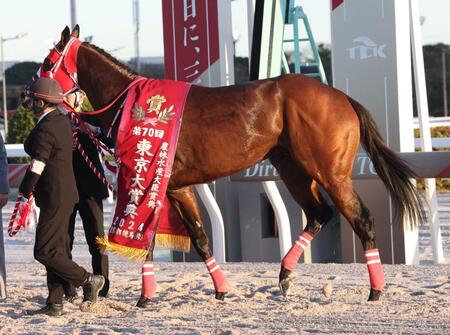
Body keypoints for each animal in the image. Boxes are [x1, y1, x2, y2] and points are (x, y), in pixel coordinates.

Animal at [35, 26, 422, 308]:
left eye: (47, 62)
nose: (30, 95)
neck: (134, 104)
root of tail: (341, 97)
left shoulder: (149, 181)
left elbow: (147, 241)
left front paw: (145, 297)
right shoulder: (177, 186)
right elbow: (201, 238)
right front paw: (220, 289)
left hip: (330, 171)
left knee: (361, 219)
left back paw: (375, 289)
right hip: (293, 169)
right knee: (318, 214)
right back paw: (285, 275)